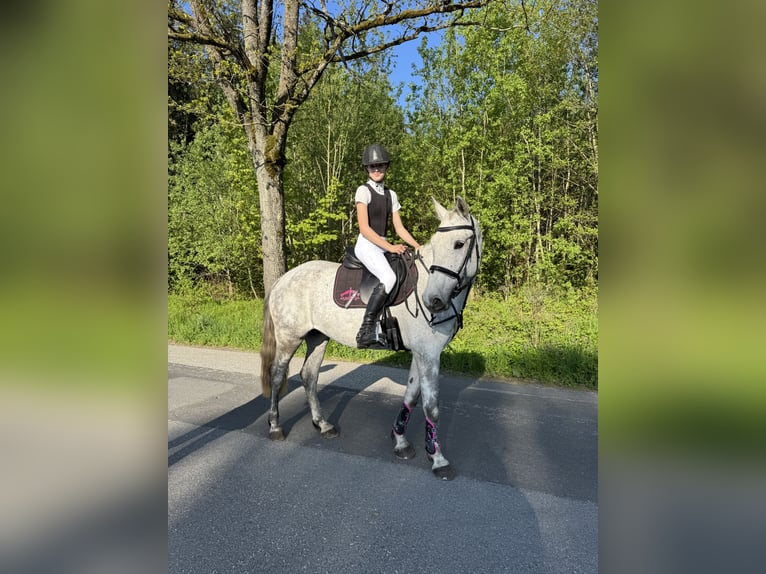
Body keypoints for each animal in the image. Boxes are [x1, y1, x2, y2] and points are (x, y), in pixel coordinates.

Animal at [260, 196, 482, 480]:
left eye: (458, 244)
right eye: (438, 243)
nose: (433, 300)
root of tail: (283, 279)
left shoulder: (421, 354)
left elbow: (411, 395)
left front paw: (400, 441)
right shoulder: (428, 354)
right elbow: (431, 405)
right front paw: (438, 459)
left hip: (317, 338)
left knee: (309, 376)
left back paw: (323, 424)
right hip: (290, 337)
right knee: (277, 376)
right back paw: (275, 427)